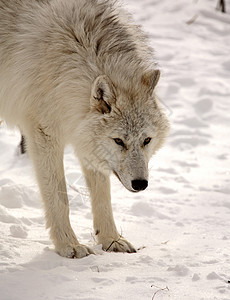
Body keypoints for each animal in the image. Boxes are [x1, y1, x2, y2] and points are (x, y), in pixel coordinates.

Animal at [0, 0, 169, 258]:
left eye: (146, 140)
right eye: (119, 141)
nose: (141, 184)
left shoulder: (86, 141)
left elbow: (103, 197)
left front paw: (111, 240)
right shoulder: (44, 135)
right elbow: (60, 198)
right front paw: (68, 245)